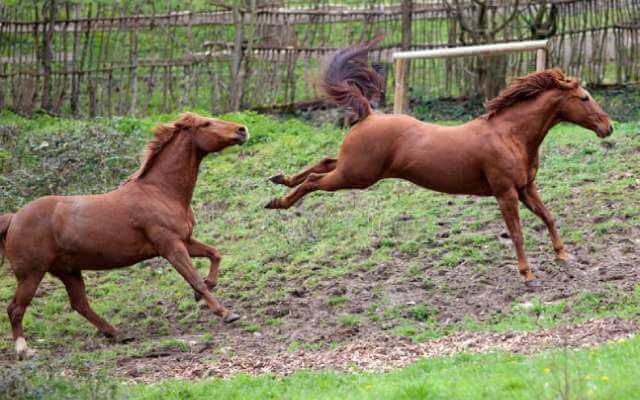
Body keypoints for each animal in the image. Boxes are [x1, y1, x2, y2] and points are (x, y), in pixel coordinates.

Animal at [0, 112, 248, 360]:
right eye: (206, 123)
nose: (242, 130)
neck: (160, 192)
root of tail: (14, 218)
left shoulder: (184, 241)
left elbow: (215, 254)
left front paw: (208, 287)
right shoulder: (171, 246)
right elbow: (194, 278)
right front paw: (226, 312)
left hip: (67, 271)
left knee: (80, 305)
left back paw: (117, 333)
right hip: (31, 273)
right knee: (15, 308)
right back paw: (24, 350)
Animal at [266, 38, 616, 288]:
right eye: (584, 98)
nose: (608, 127)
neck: (510, 135)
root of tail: (368, 113)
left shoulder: (526, 188)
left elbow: (549, 218)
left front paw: (564, 256)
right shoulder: (505, 193)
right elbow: (517, 233)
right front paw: (528, 276)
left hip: (354, 169)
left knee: (323, 162)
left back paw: (279, 181)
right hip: (356, 175)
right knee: (315, 181)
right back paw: (278, 202)